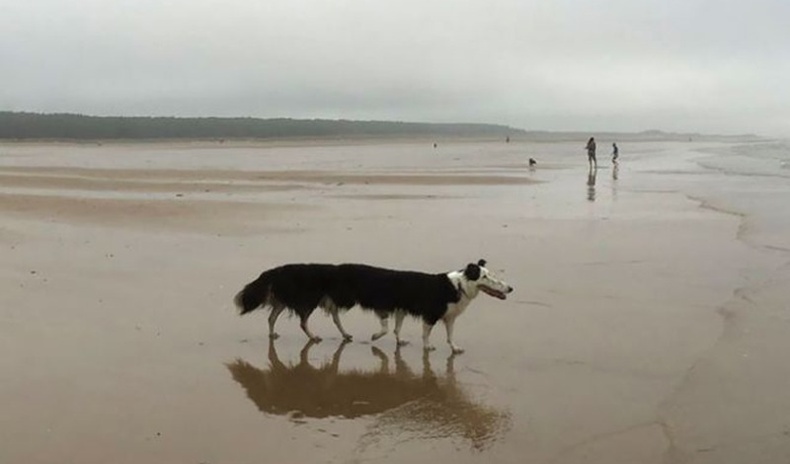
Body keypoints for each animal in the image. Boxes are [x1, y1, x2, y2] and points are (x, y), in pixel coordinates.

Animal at [234, 260, 512, 354]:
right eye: (485, 276)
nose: (510, 289)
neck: (458, 285)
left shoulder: (444, 316)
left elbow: (448, 335)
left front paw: (454, 348)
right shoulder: (422, 313)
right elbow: (408, 331)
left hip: (307, 300)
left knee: (273, 316)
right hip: (310, 301)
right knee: (301, 320)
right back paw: (314, 336)